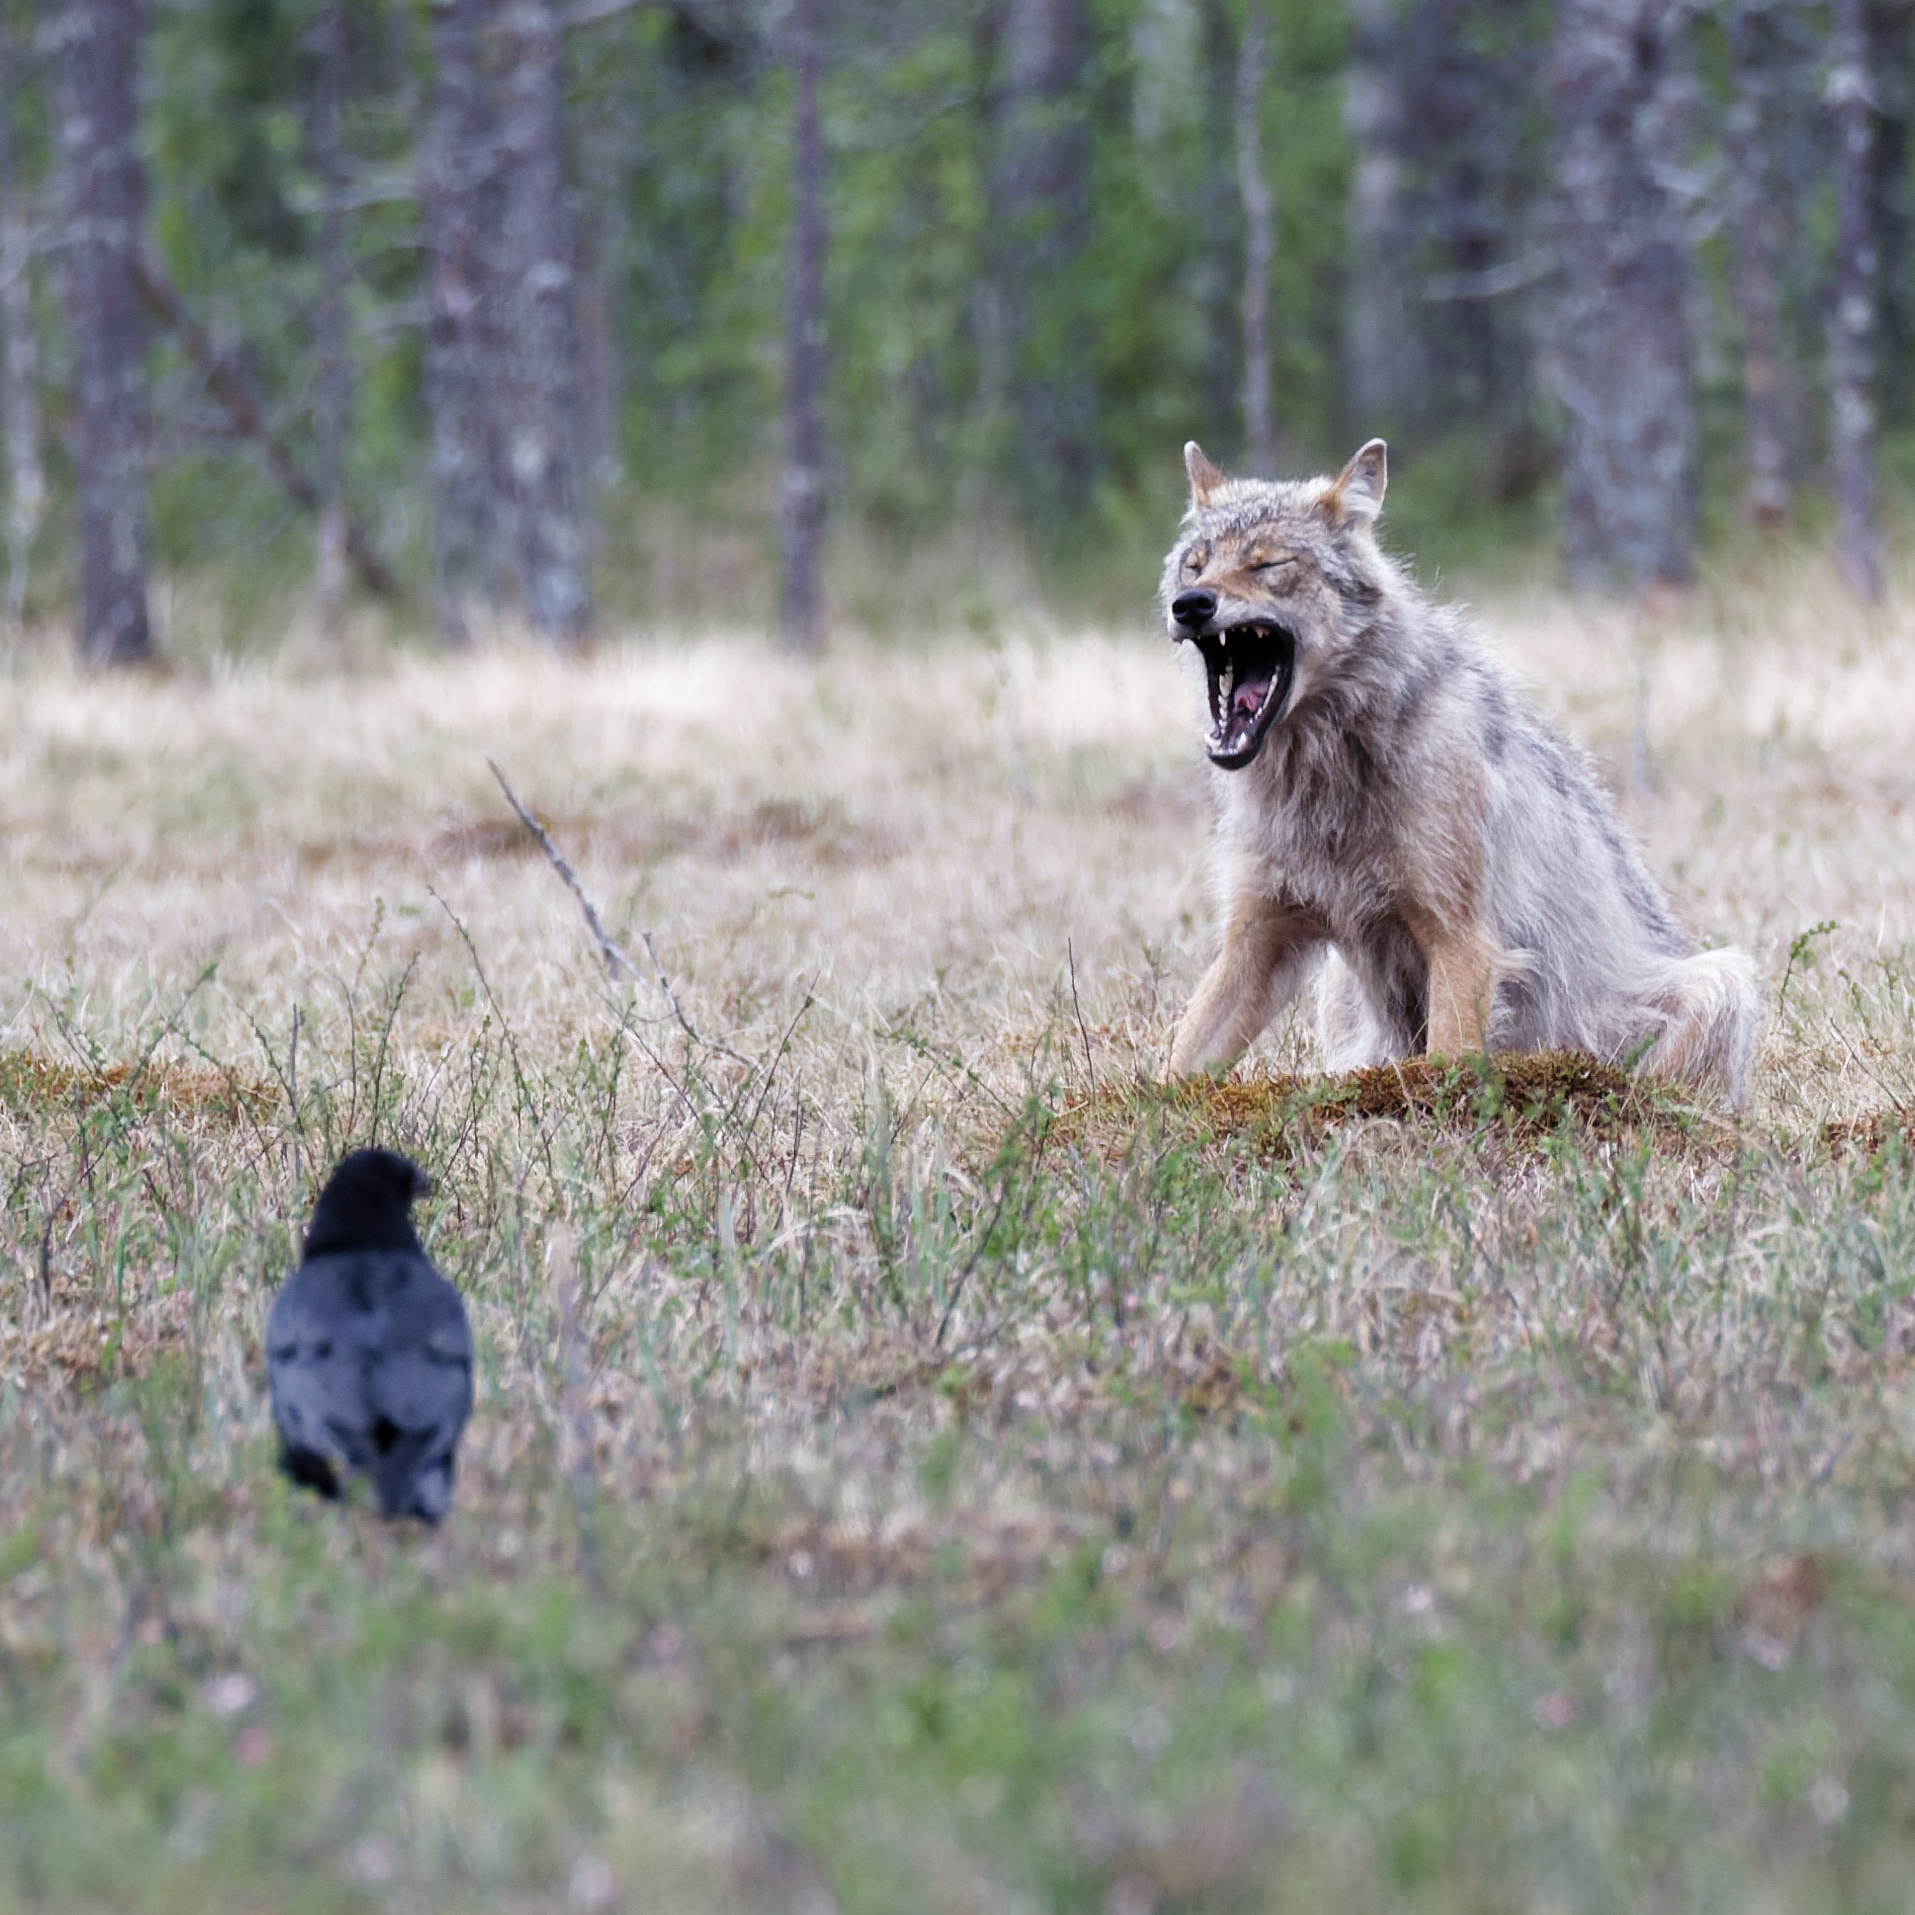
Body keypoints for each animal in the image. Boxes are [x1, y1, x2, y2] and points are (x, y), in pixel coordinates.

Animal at [1160, 439, 1760, 1103]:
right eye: (1195, 565)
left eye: (1268, 564)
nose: (1189, 605)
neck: (1327, 775)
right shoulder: (1256, 937)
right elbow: (1174, 1064)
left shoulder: (1460, 937)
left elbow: (1446, 1066)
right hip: (1342, 991)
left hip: (1722, 980)